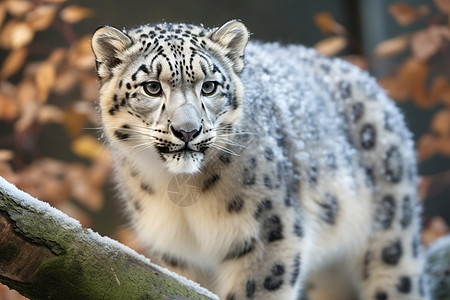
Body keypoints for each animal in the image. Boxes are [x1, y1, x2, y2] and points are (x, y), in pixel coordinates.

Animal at [92, 19, 426, 298]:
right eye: (152, 87)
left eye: (209, 86)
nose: (188, 130)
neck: (179, 193)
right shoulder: (179, 255)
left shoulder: (270, 232)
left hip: (391, 239)